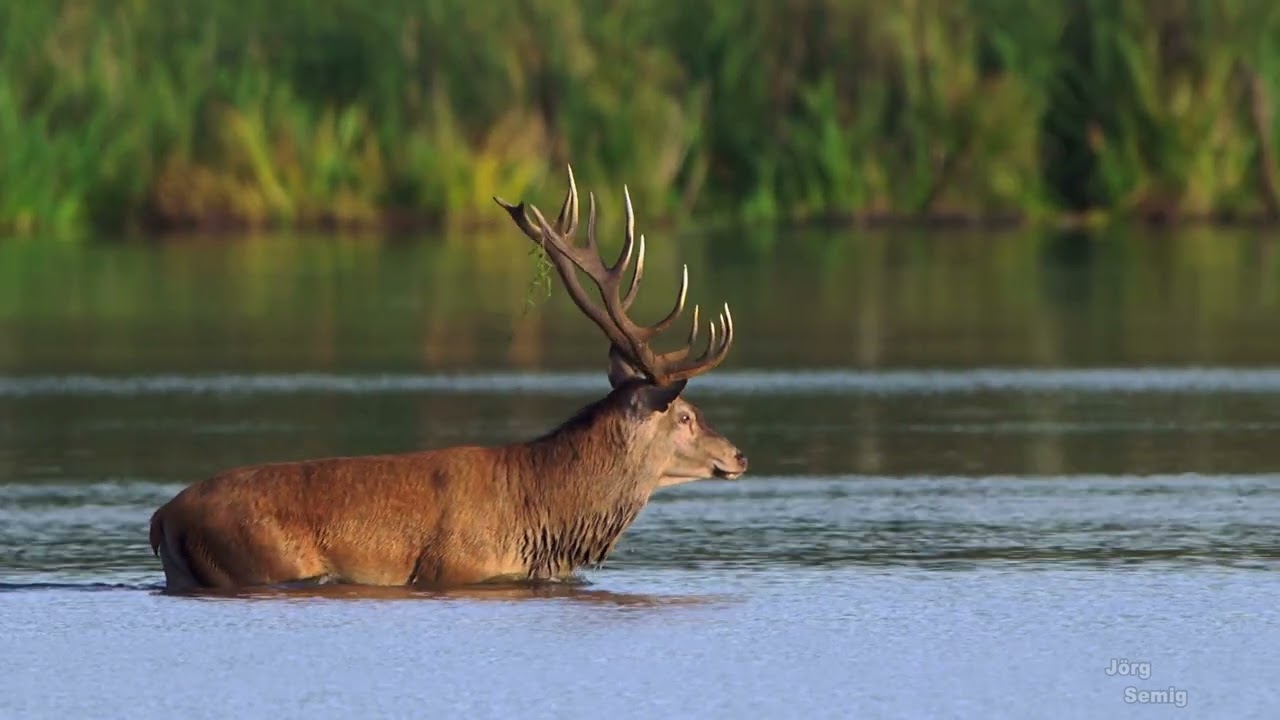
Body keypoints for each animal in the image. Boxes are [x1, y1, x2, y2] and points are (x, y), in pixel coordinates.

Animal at [148, 166, 748, 593]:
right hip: (262, 558)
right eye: (686, 415)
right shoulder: (456, 566)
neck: (544, 513)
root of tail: (162, 518)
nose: (739, 455)